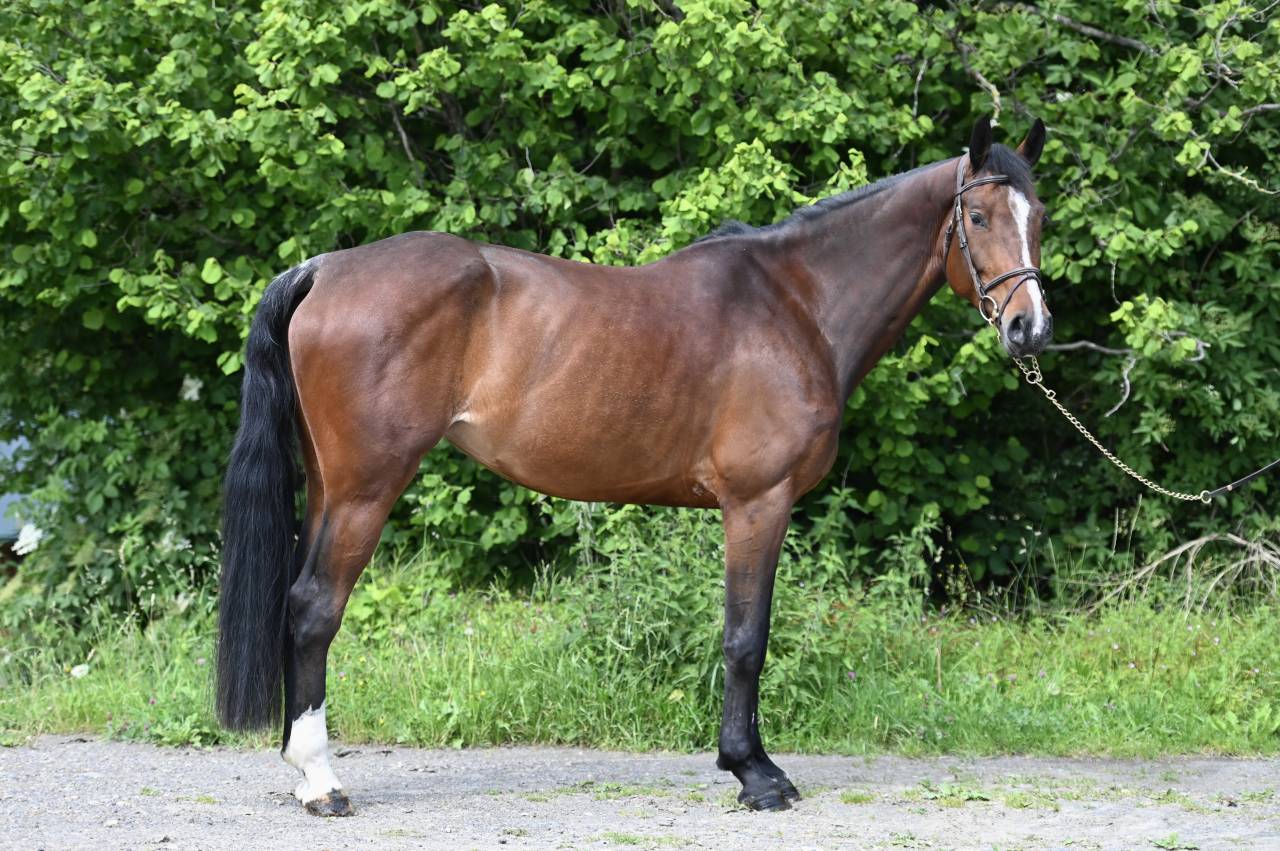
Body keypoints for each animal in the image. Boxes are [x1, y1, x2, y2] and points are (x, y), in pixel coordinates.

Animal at [216, 116, 1051, 816]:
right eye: (979, 218)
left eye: (1037, 218)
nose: (1030, 328)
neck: (797, 304)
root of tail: (324, 269)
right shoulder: (758, 501)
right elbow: (746, 636)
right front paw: (755, 773)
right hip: (366, 486)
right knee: (315, 606)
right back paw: (322, 781)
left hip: (329, 486)